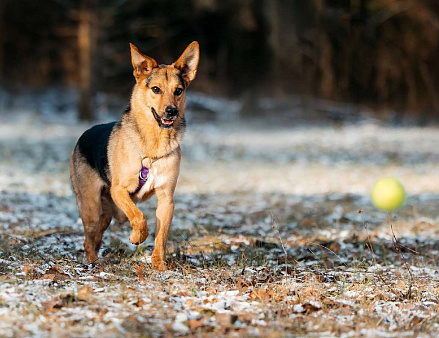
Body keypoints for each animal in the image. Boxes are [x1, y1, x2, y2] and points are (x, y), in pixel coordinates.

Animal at [70, 41, 199, 270]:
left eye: (178, 91)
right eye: (156, 89)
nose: (171, 111)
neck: (153, 147)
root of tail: (82, 136)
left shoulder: (166, 199)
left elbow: (161, 236)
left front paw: (159, 265)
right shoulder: (119, 190)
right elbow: (139, 217)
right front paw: (137, 236)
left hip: (108, 214)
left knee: (98, 234)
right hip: (92, 208)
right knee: (88, 239)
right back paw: (93, 262)